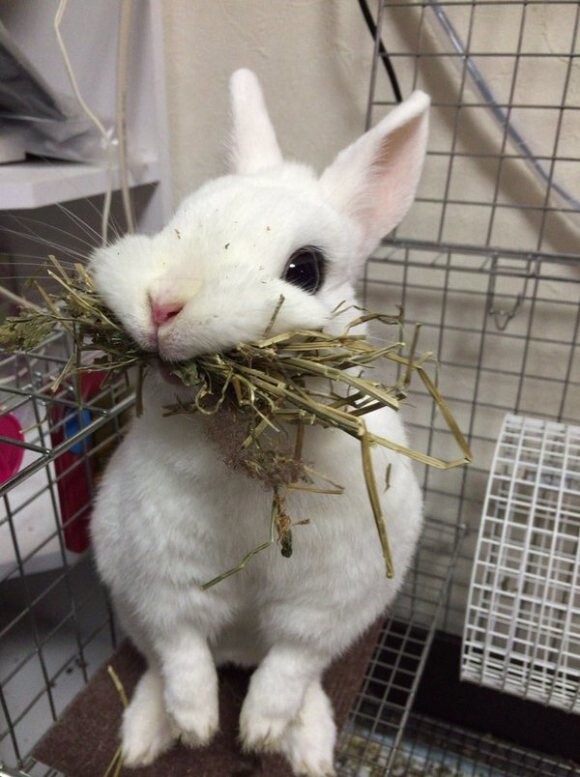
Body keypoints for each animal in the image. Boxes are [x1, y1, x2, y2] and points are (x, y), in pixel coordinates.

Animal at [90, 69, 429, 776]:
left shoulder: (327, 601)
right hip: (127, 597)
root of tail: (238, 650)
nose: (163, 305)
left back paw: (307, 746)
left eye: (306, 268)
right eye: (176, 224)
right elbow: (183, 651)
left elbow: (290, 664)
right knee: (159, 663)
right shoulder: (163, 579)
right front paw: (198, 727)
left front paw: (259, 733)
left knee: (301, 674)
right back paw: (145, 737)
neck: (245, 446)